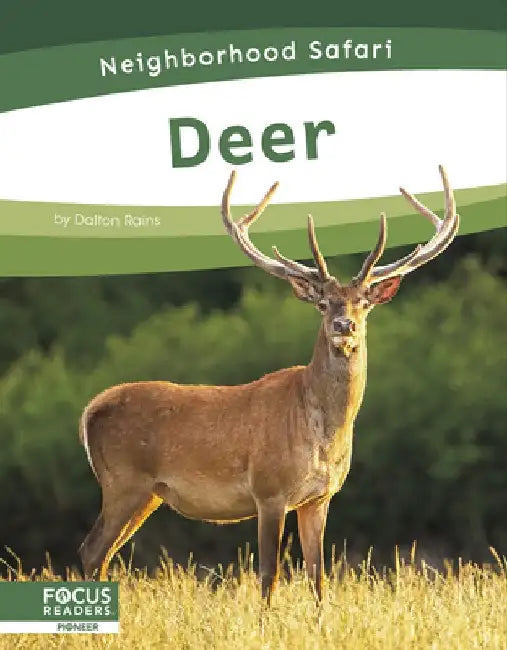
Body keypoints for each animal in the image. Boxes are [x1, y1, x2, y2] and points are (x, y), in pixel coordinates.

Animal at [78, 166, 459, 604]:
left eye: (364, 302)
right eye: (323, 303)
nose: (344, 326)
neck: (322, 434)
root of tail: (89, 410)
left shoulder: (320, 498)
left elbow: (318, 577)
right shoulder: (269, 490)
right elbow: (268, 575)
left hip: (147, 493)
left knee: (102, 554)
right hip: (124, 481)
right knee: (91, 550)